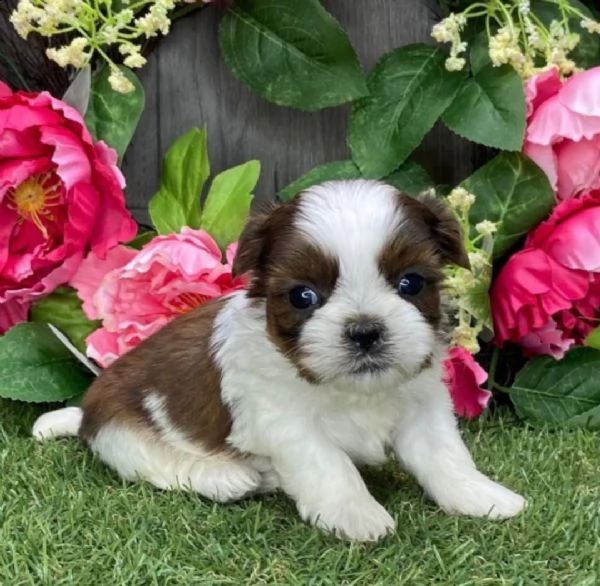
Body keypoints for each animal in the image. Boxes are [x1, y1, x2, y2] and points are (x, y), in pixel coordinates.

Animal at [35, 178, 528, 540]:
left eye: (411, 283)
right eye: (303, 296)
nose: (365, 330)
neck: (351, 390)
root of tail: (87, 411)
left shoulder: (422, 405)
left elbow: (445, 456)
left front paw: (481, 495)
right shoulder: (282, 421)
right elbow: (329, 465)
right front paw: (357, 514)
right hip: (122, 429)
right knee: (157, 463)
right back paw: (226, 476)